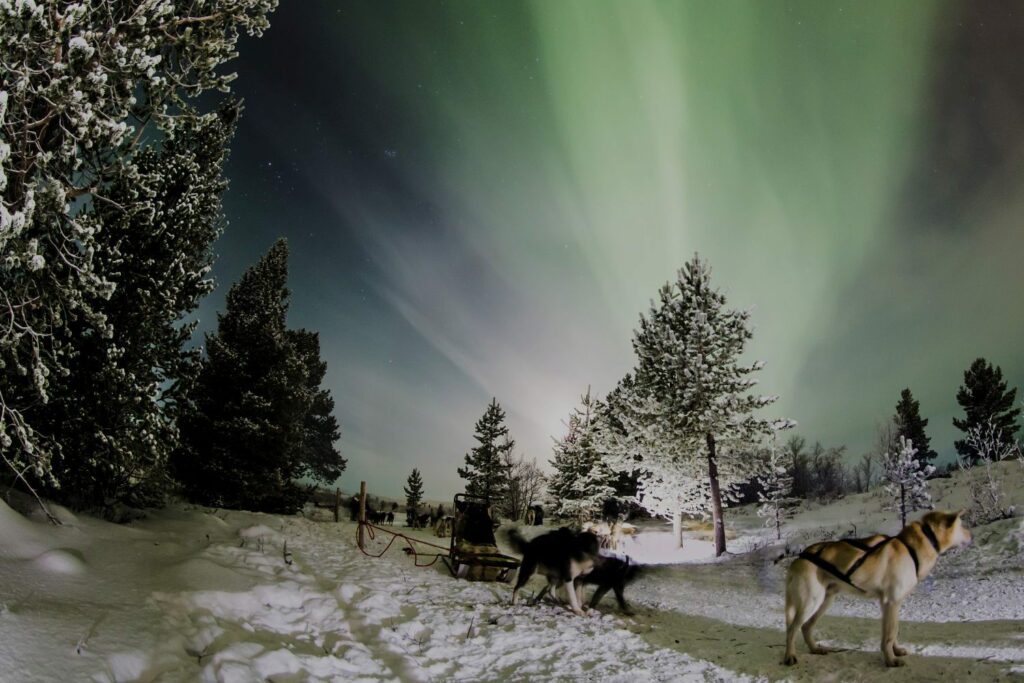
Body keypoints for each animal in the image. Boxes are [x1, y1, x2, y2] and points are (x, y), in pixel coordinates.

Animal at [786, 511, 970, 667]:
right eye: (962, 525)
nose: (971, 535)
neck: (910, 549)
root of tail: (799, 558)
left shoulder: (891, 605)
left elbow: (894, 631)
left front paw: (896, 651)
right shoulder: (891, 602)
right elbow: (889, 637)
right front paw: (891, 660)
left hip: (824, 601)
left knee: (806, 627)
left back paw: (815, 649)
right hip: (811, 602)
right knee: (792, 628)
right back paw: (790, 656)